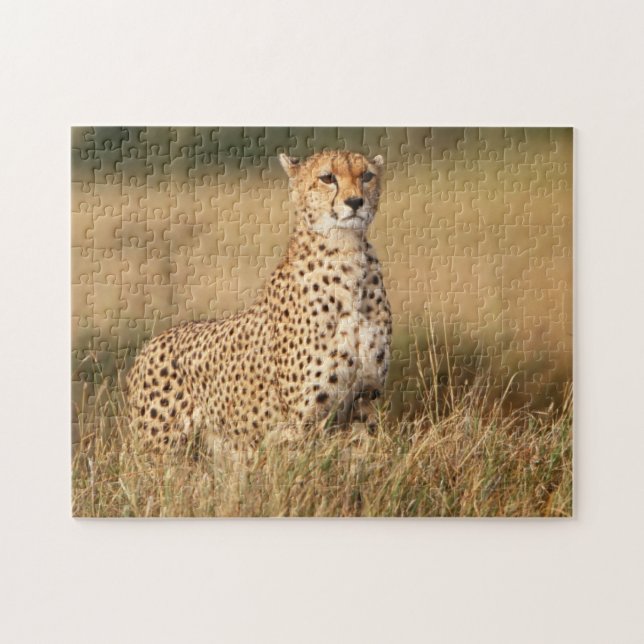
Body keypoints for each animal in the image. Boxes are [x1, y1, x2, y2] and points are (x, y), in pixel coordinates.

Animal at [126, 150, 392, 455]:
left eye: (367, 176)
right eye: (327, 177)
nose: (355, 202)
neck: (347, 252)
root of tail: (151, 344)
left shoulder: (365, 402)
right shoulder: (302, 421)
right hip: (160, 448)